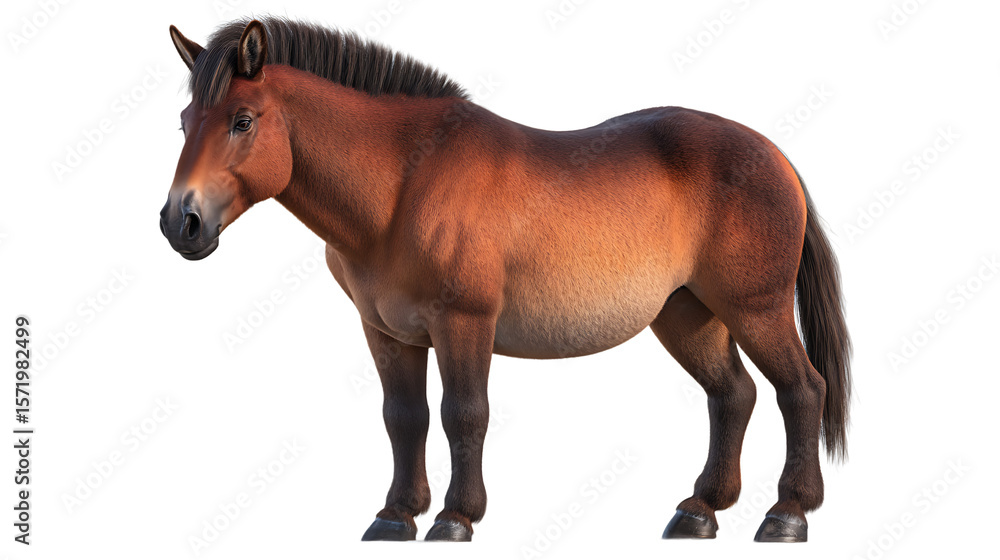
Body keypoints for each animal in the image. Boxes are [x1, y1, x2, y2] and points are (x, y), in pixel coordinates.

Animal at [161, 17, 851, 543]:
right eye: (184, 120)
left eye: (243, 120)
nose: (180, 222)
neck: (404, 184)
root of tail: (776, 156)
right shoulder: (388, 333)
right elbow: (403, 417)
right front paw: (394, 517)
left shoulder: (463, 322)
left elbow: (464, 413)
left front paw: (455, 519)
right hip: (687, 314)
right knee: (733, 394)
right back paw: (699, 511)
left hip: (756, 308)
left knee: (802, 389)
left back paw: (787, 514)